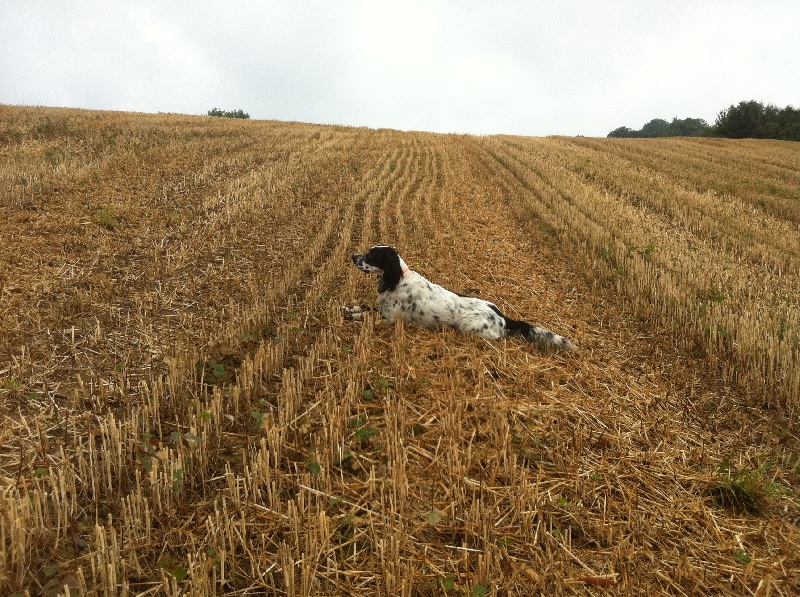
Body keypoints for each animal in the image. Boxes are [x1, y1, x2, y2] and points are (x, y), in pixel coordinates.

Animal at [346, 246, 576, 352]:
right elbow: (364, 307)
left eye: (371, 256)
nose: (353, 256)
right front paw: (349, 309)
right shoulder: (382, 310)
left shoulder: (390, 319)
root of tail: (503, 317)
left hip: (469, 327)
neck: (397, 279)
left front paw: (352, 315)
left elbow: (367, 317)